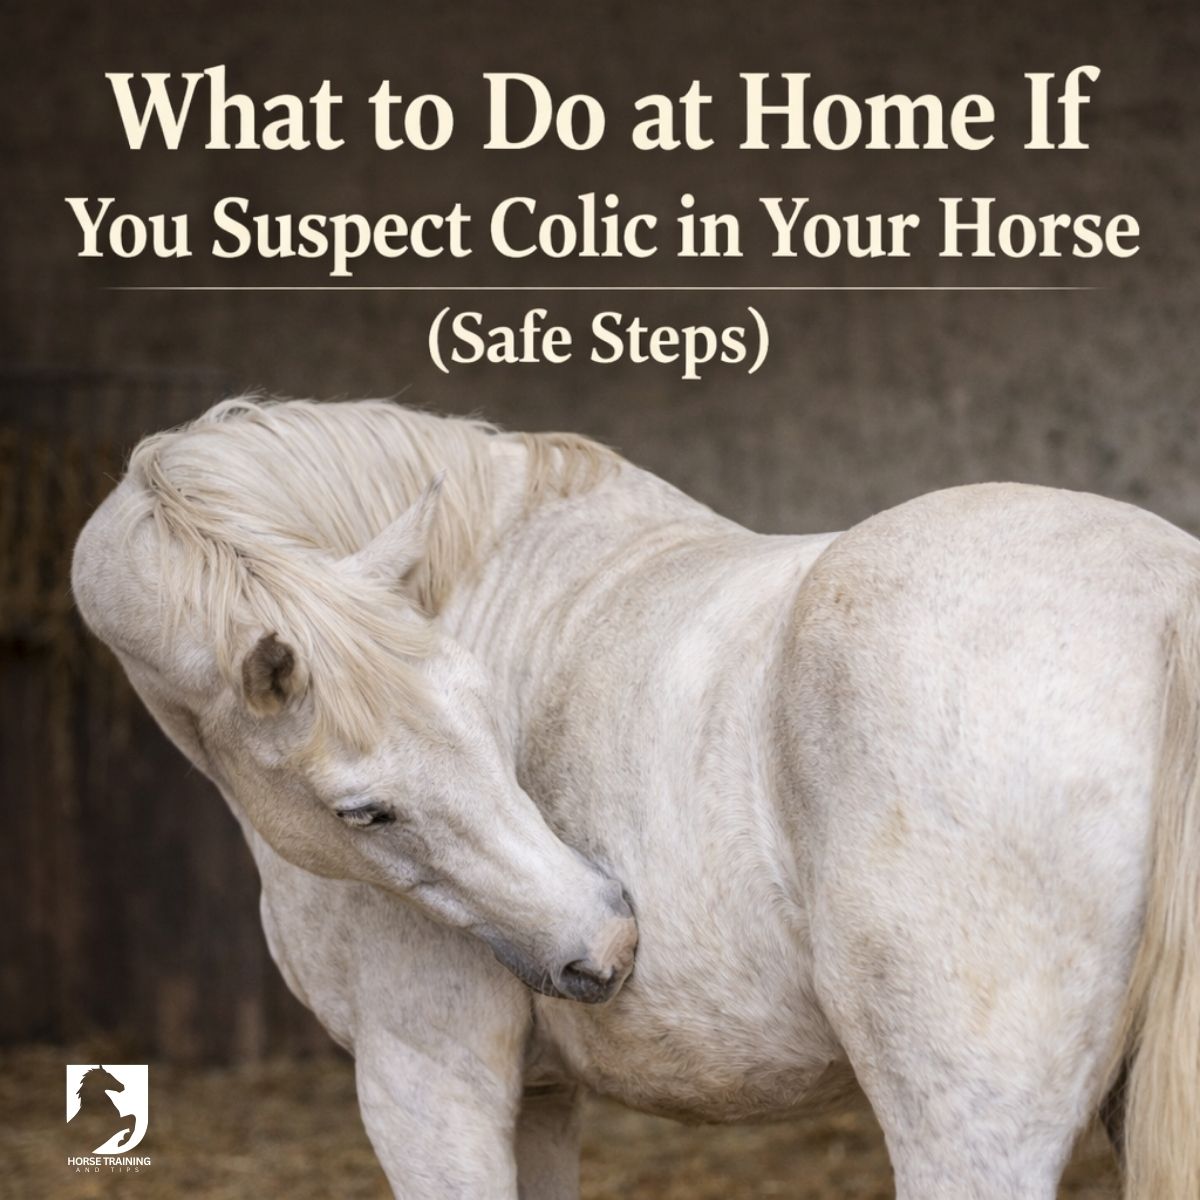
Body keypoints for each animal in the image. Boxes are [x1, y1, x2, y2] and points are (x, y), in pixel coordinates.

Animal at [71, 397, 1200, 1200]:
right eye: (367, 812)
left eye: (487, 715)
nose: (607, 940)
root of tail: (1164, 595)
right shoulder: (537, 1100)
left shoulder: (428, 1085)